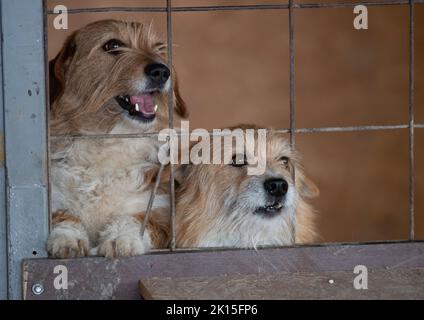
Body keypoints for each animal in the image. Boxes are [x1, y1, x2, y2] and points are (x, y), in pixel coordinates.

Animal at [46, 20, 187, 258]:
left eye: (158, 48)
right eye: (113, 45)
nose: (162, 71)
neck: (107, 142)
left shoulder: (162, 214)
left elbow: (134, 220)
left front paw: (121, 237)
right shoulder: (53, 200)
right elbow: (63, 216)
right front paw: (67, 237)